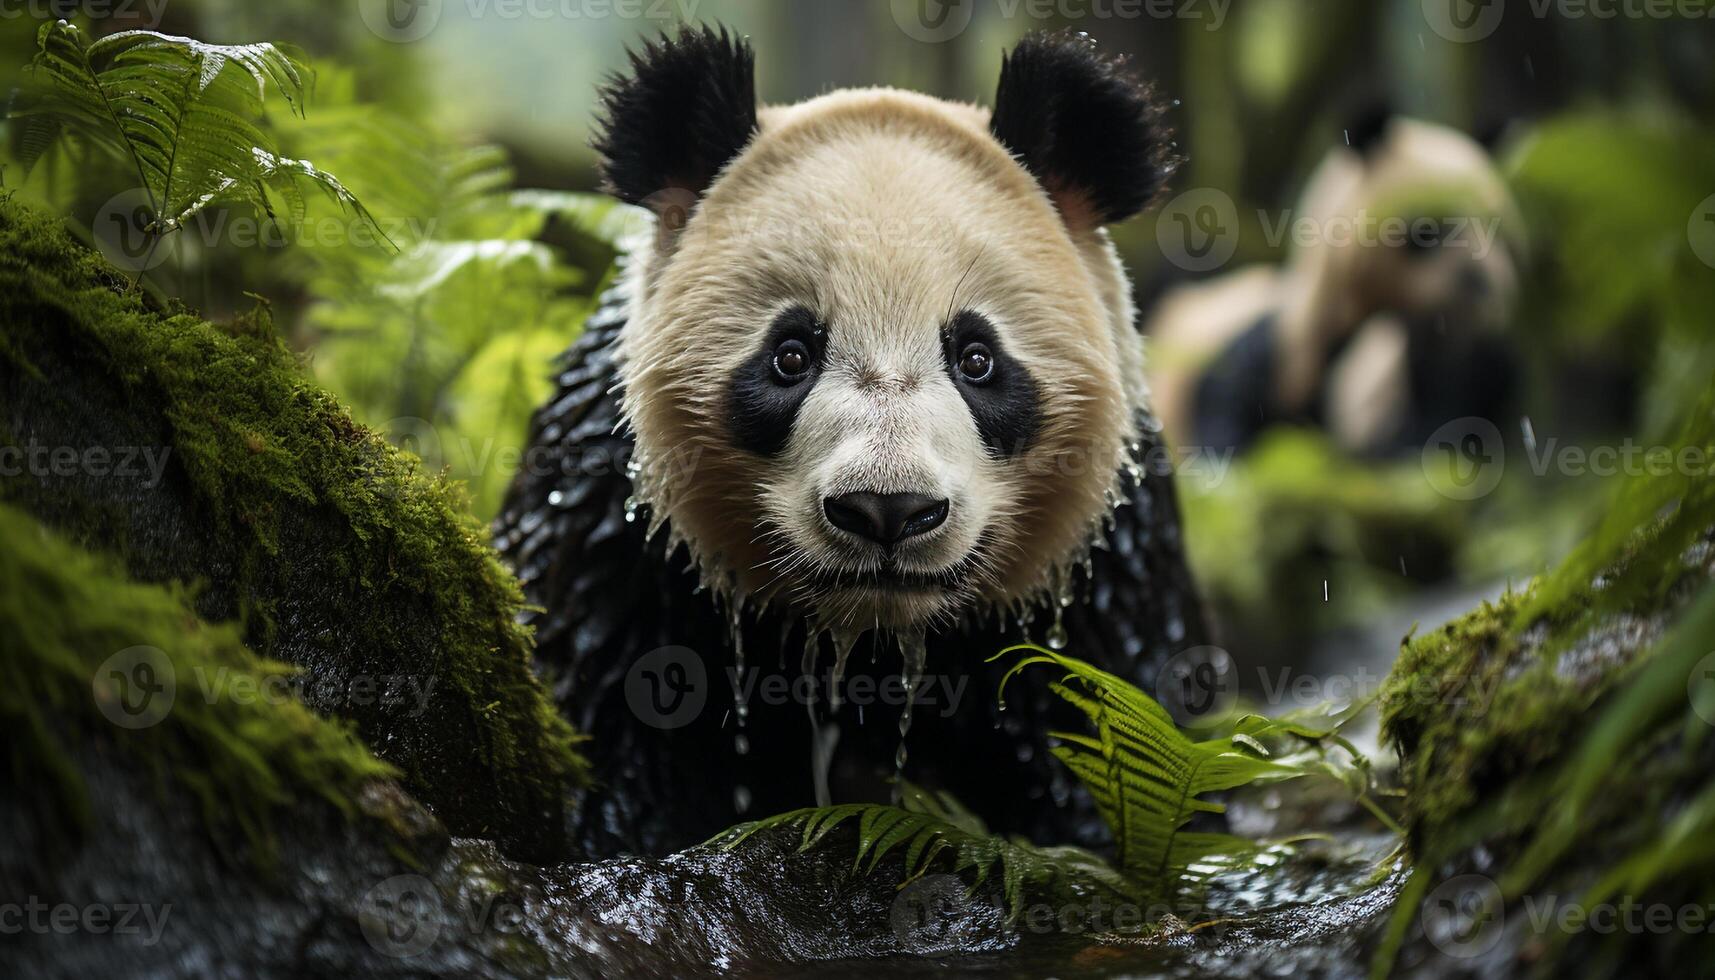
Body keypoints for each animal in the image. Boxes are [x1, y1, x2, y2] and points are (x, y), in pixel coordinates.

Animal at [500, 26, 1207, 858]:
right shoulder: (616, 537)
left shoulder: (1105, 578)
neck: (873, 642)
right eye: (790, 355)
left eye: (976, 359)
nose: (886, 510)